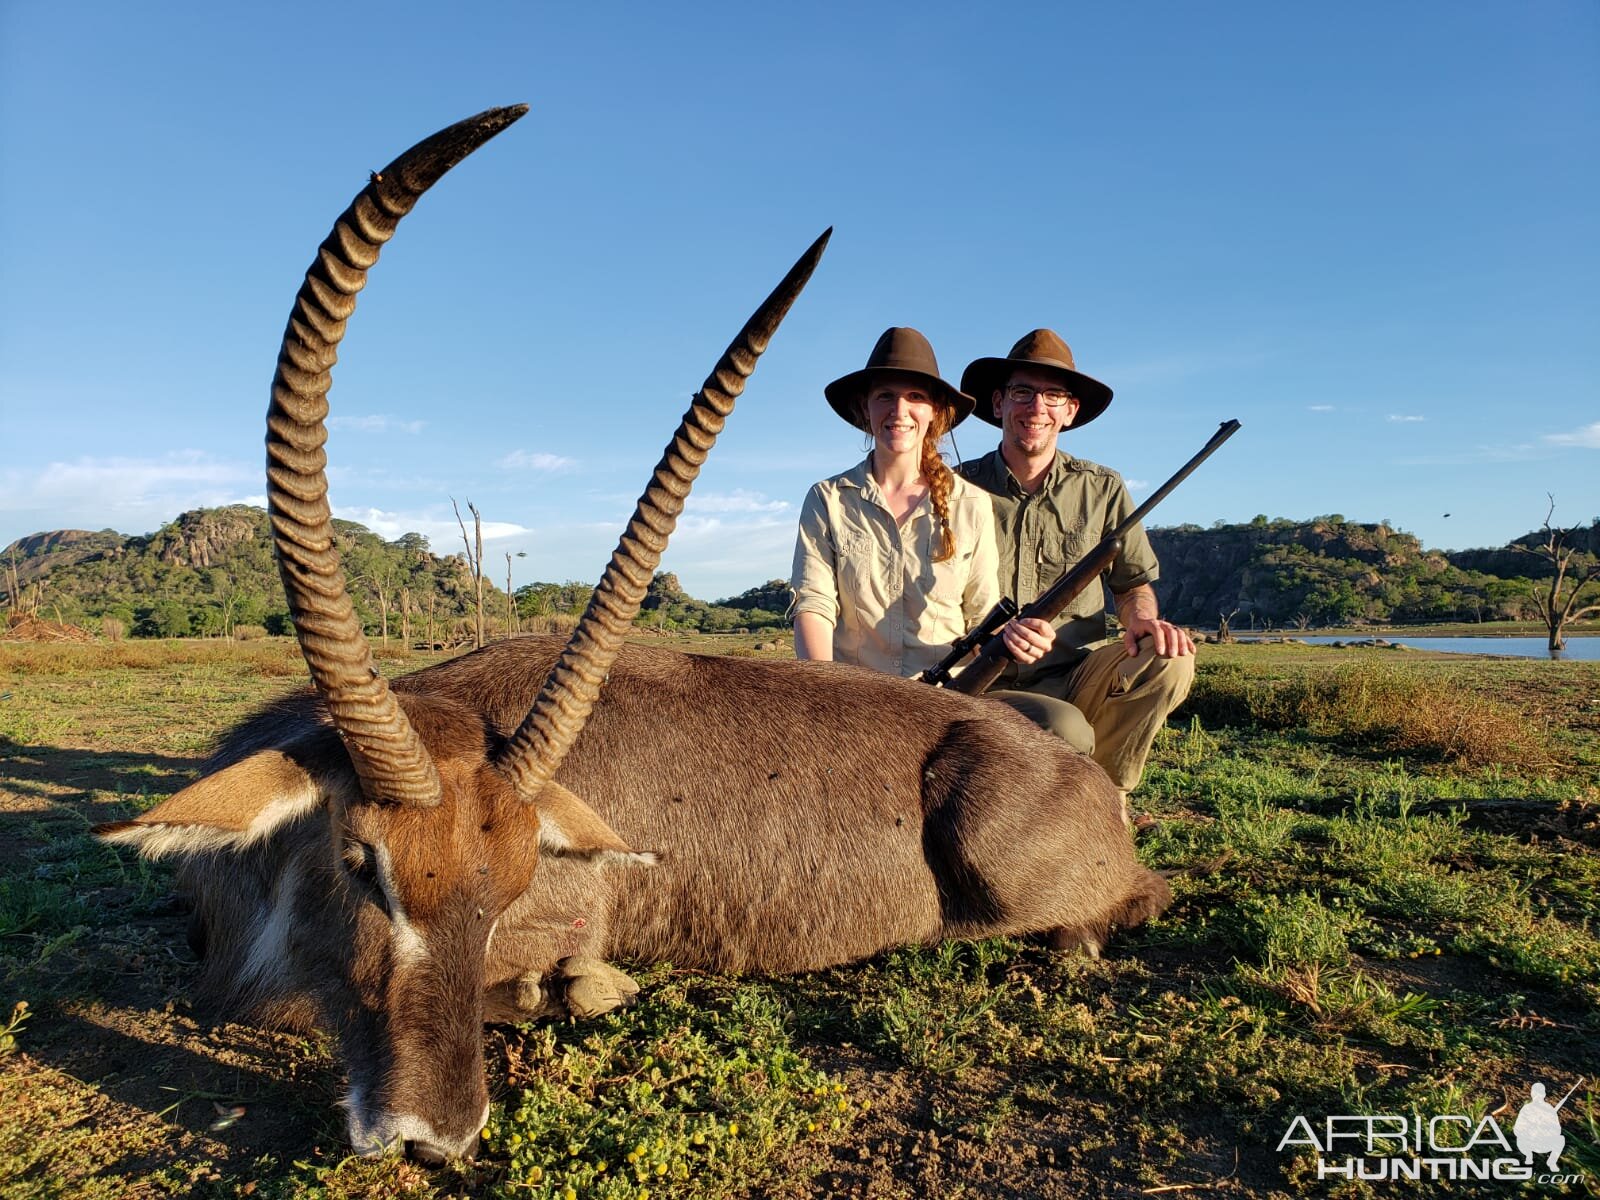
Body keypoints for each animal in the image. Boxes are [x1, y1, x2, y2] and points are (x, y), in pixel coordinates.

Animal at [100, 105, 1177, 1164]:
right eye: (359, 862)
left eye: (509, 883)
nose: (430, 1137)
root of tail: (1084, 779)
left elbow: (334, 998)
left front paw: (579, 986)